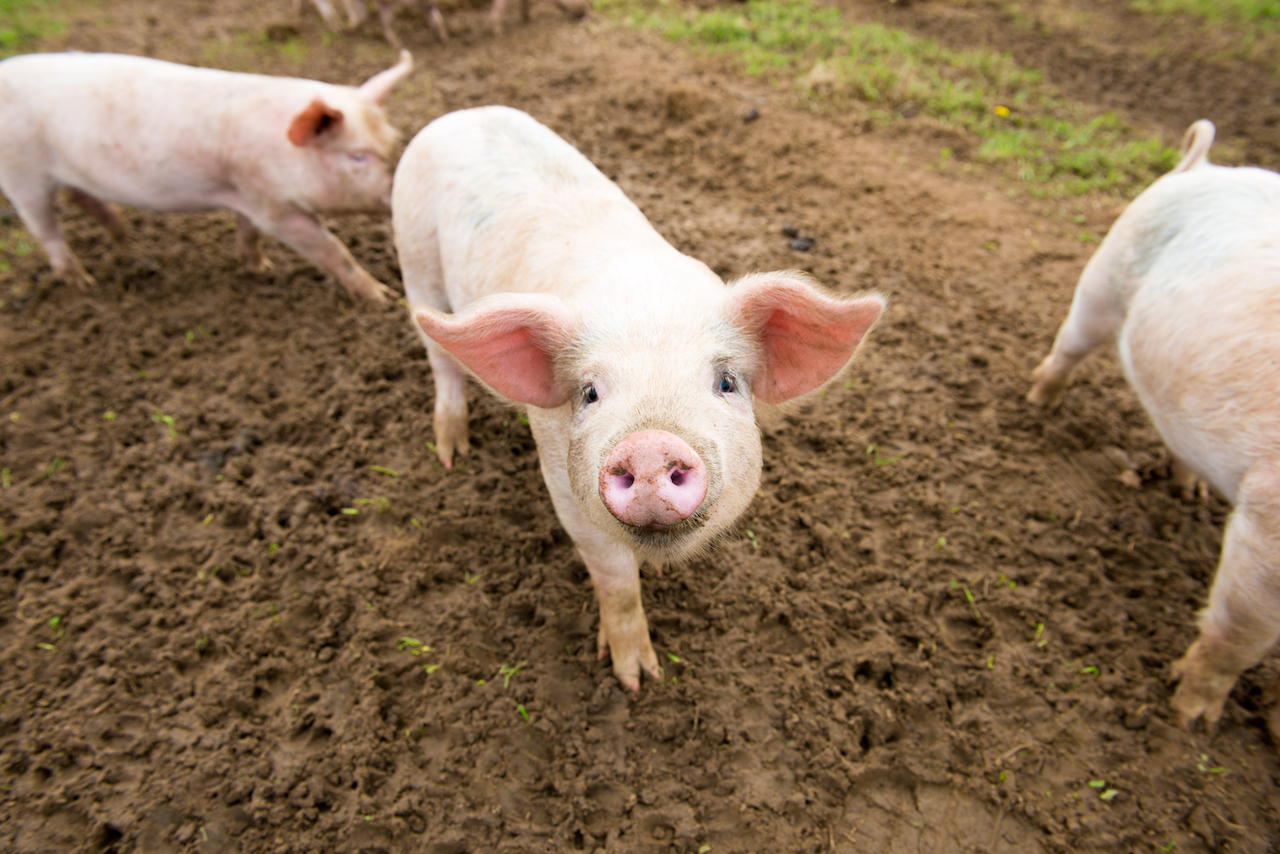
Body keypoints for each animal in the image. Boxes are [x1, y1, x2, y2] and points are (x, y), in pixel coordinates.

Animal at [0, 50, 412, 303]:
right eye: (357, 156)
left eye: (392, 141)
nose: (397, 192)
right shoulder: (273, 207)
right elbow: (332, 250)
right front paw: (383, 297)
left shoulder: (245, 193)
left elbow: (247, 231)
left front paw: (261, 268)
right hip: (22, 176)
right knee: (46, 230)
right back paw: (84, 284)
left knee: (82, 197)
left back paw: (124, 242)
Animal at [394, 104, 885, 696]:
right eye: (589, 392)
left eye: (726, 382)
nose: (650, 445)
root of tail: (463, 113)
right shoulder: (563, 482)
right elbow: (615, 577)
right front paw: (637, 680)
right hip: (413, 255)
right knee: (440, 357)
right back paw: (453, 452)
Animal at [1024, 118, 1280, 737]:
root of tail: (1204, 164)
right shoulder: (1268, 518)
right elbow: (1240, 635)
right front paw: (1190, 721)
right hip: (1101, 282)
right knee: (1068, 349)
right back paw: (1039, 404)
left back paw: (1190, 495)